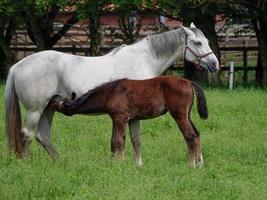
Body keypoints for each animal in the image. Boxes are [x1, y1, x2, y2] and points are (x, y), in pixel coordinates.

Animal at [49, 76, 208, 166]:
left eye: (58, 103)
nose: (49, 101)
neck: (111, 92)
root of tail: (188, 82)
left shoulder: (121, 118)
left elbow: (120, 141)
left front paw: (119, 163)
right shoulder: (128, 119)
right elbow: (128, 141)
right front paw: (135, 164)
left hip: (179, 115)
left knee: (190, 136)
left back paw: (191, 164)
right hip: (187, 115)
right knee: (197, 134)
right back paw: (200, 163)